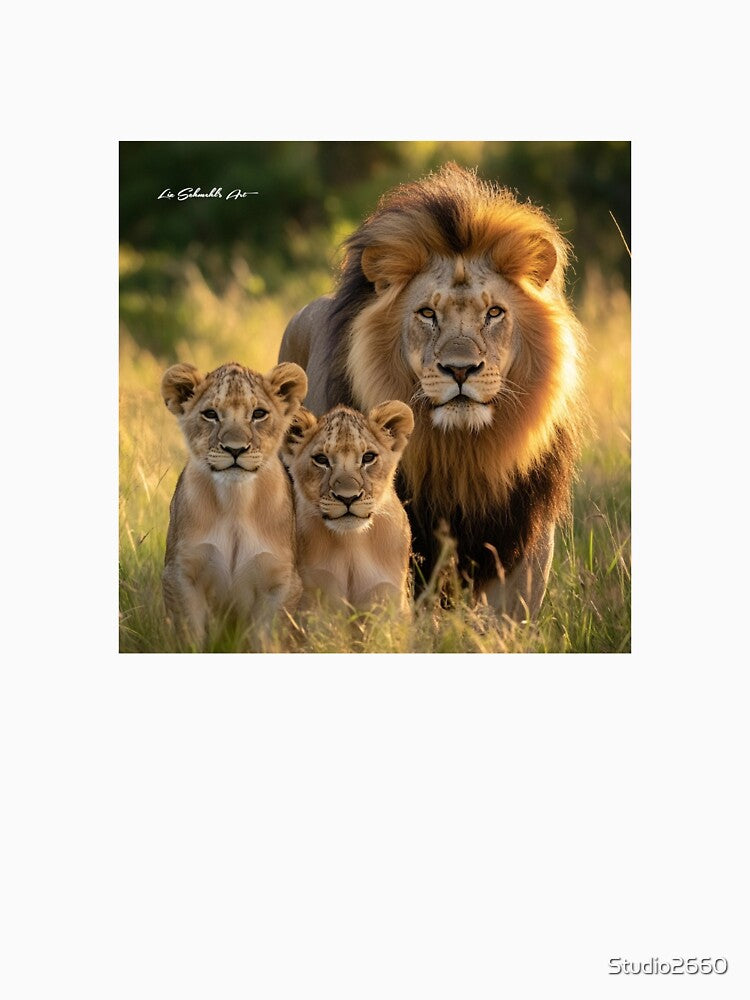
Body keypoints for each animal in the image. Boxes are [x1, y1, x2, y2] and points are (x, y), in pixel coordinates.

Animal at [161, 360, 307, 645]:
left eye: (259, 414)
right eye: (210, 414)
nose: (235, 449)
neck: (235, 503)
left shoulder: (282, 581)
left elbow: (268, 641)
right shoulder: (180, 573)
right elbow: (189, 637)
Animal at [282, 401, 414, 615]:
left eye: (368, 457)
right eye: (321, 459)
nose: (348, 497)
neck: (352, 543)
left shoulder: (389, 596)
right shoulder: (313, 596)